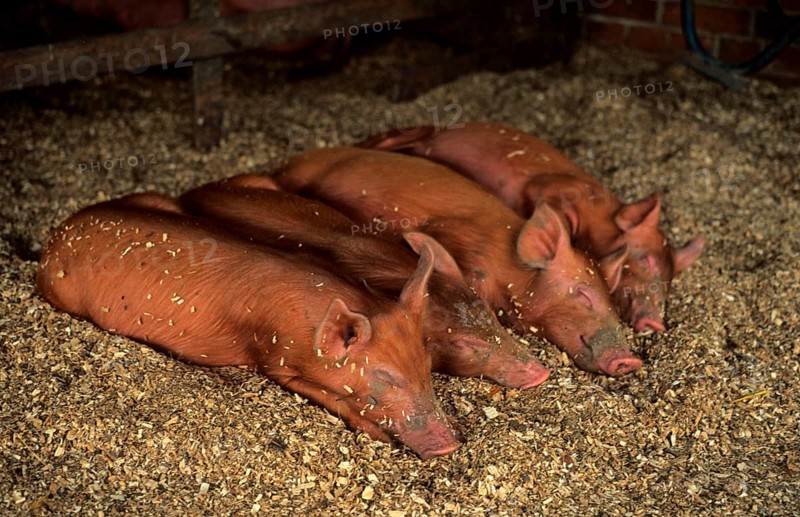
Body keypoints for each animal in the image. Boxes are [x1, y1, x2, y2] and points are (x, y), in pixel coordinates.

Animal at [36, 192, 462, 459]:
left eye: (426, 367)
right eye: (385, 377)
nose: (450, 445)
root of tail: (54, 236)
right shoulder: (276, 358)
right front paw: (378, 435)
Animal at [358, 122, 705, 333]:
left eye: (671, 281)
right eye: (645, 258)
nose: (657, 324)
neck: (598, 210)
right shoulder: (548, 189)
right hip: (421, 137)